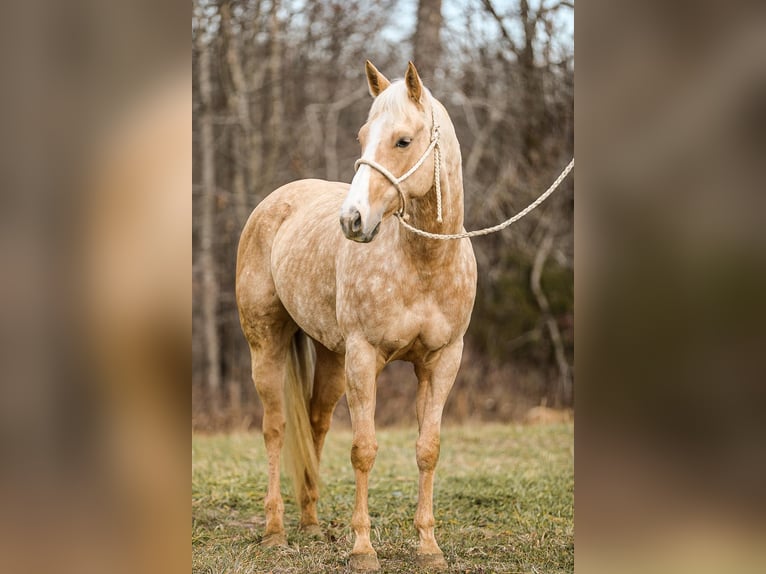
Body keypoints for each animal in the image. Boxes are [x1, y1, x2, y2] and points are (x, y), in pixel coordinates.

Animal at [238, 60, 480, 572]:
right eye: (362, 136)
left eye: (403, 141)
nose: (352, 221)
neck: (423, 263)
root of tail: (276, 201)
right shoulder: (365, 358)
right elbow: (363, 450)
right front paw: (363, 549)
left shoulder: (442, 362)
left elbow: (427, 449)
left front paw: (428, 546)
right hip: (266, 345)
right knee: (275, 428)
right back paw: (275, 532)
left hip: (331, 358)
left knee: (314, 423)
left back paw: (310, 523)